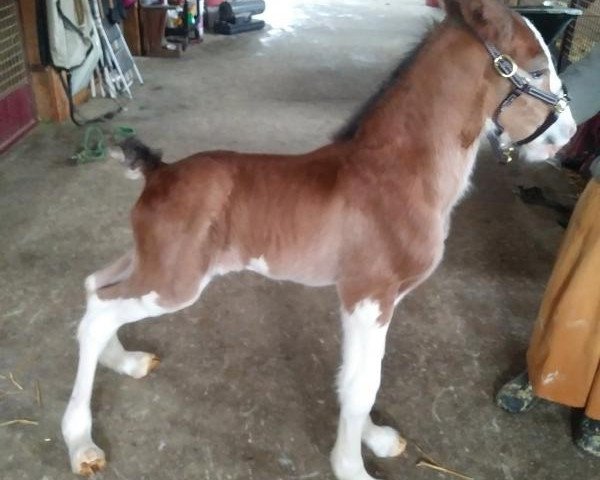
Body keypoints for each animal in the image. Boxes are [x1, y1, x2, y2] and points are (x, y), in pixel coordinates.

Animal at [62, 1, 576, 478]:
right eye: (536, 68)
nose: (567, 137)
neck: (398, 175)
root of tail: (158, 171)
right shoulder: (367, 296)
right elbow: (362, 384)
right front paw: (351, 466)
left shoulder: (371, 301)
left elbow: (356, 376)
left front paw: (376, 439)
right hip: (175, 284)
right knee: (100, 313)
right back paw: (80, 441)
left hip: (150, 260)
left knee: (95, 289)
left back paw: (124, 362)